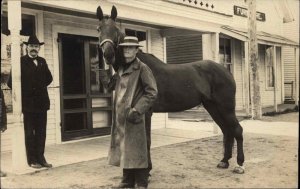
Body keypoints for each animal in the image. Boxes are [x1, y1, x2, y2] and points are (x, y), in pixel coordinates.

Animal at [97, 5, 245, 174]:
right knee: (227, 130)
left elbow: (147, 140)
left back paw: (240, 165)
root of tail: (226, 71)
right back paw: (224, 161)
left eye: (115, 29)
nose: (108, 54)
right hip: (213, 107)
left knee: (237, 130)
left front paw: (147, 170)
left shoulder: (146, 112)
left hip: (226, 107)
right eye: (99, 29)